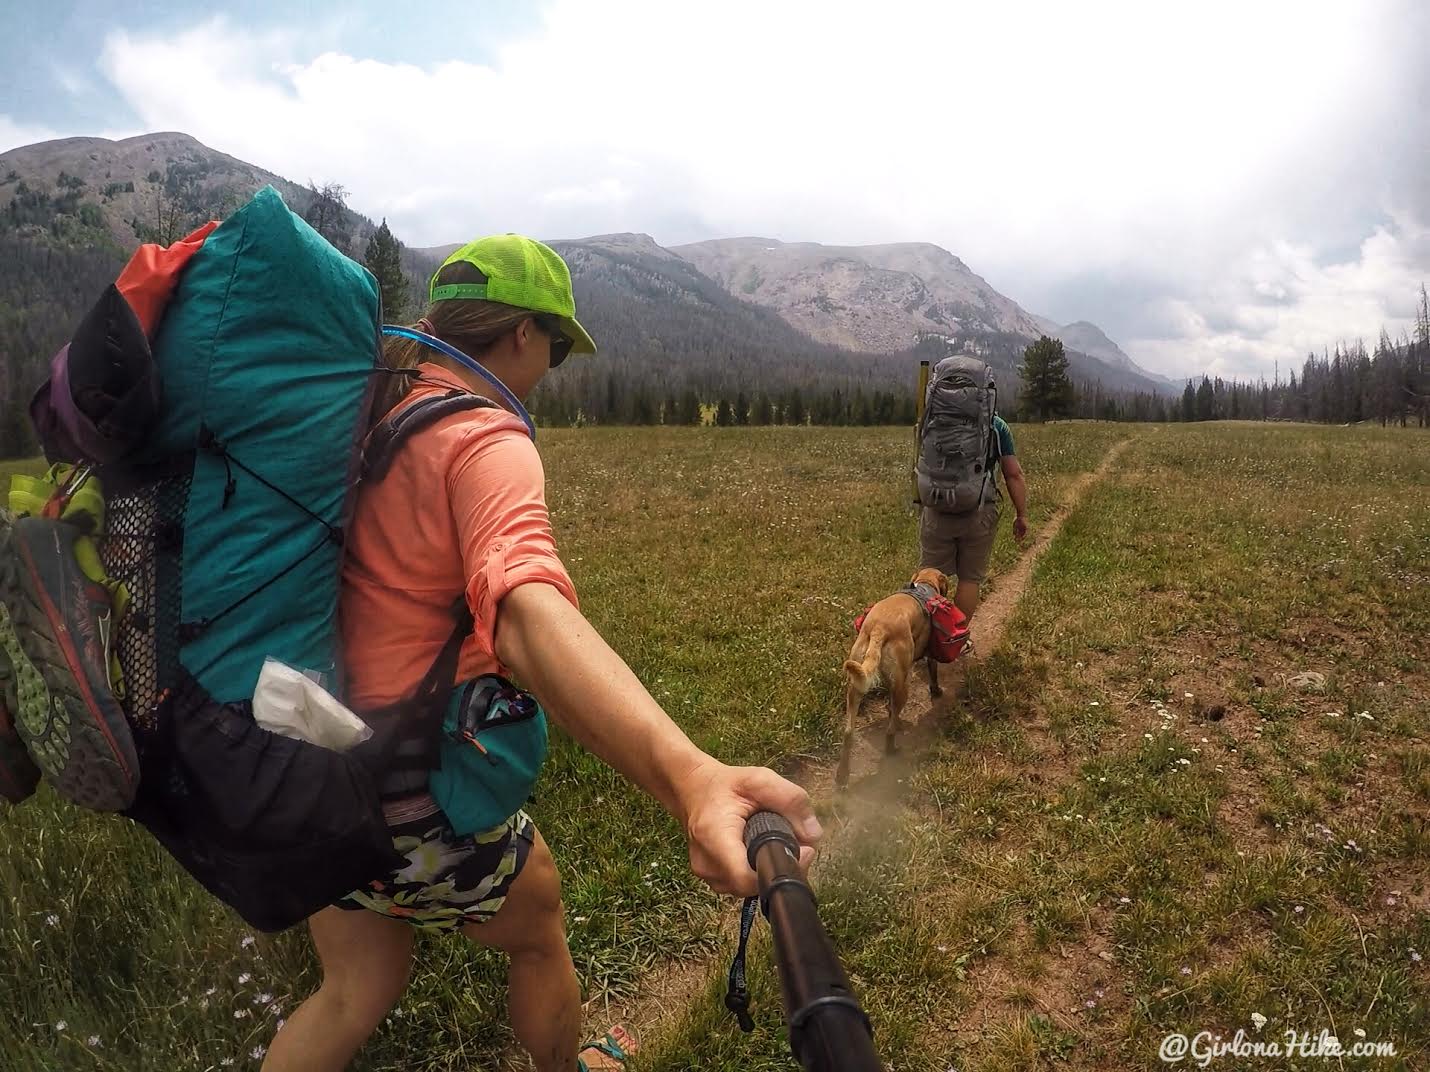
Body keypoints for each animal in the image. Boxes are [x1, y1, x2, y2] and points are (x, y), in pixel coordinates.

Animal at [835, 571, 949, 788]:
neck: (924, 584)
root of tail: (879, 629)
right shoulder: (928, 654)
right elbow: (933, 672)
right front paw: (937, 690)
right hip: (903, 687)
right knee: (889, 731)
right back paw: (892, 748)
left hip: (855, 685)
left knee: (848, 732)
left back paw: (842, 776)